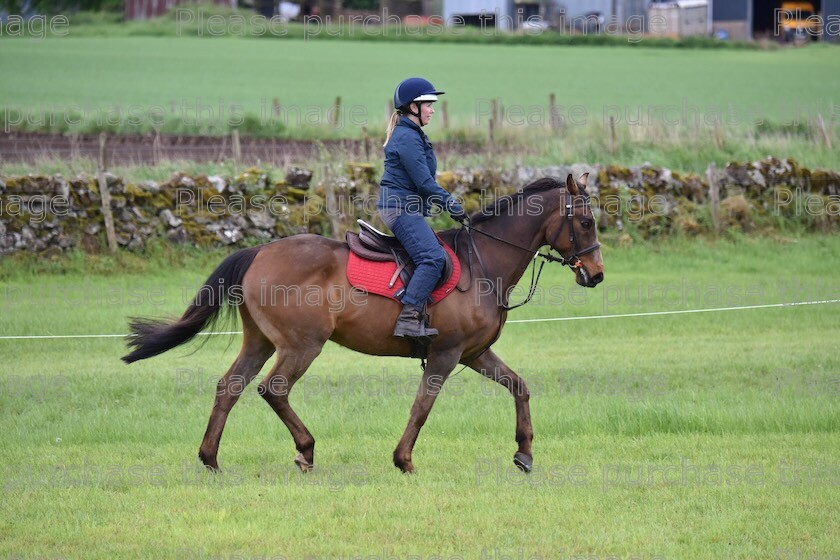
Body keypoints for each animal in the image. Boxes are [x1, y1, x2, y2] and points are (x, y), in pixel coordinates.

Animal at [121, 173, 604, 474]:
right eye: (585, 221)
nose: (596, 275)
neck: (481, 261)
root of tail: (259, 251)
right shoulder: (446, 354)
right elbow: (422, 407)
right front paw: (403, 460)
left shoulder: (475, 353)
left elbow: (519, 386)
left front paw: (524, 454)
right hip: (302, 345)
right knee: (272, 390)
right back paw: (305, 451)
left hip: (260, 342)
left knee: (230, 388)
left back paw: (211, 459)